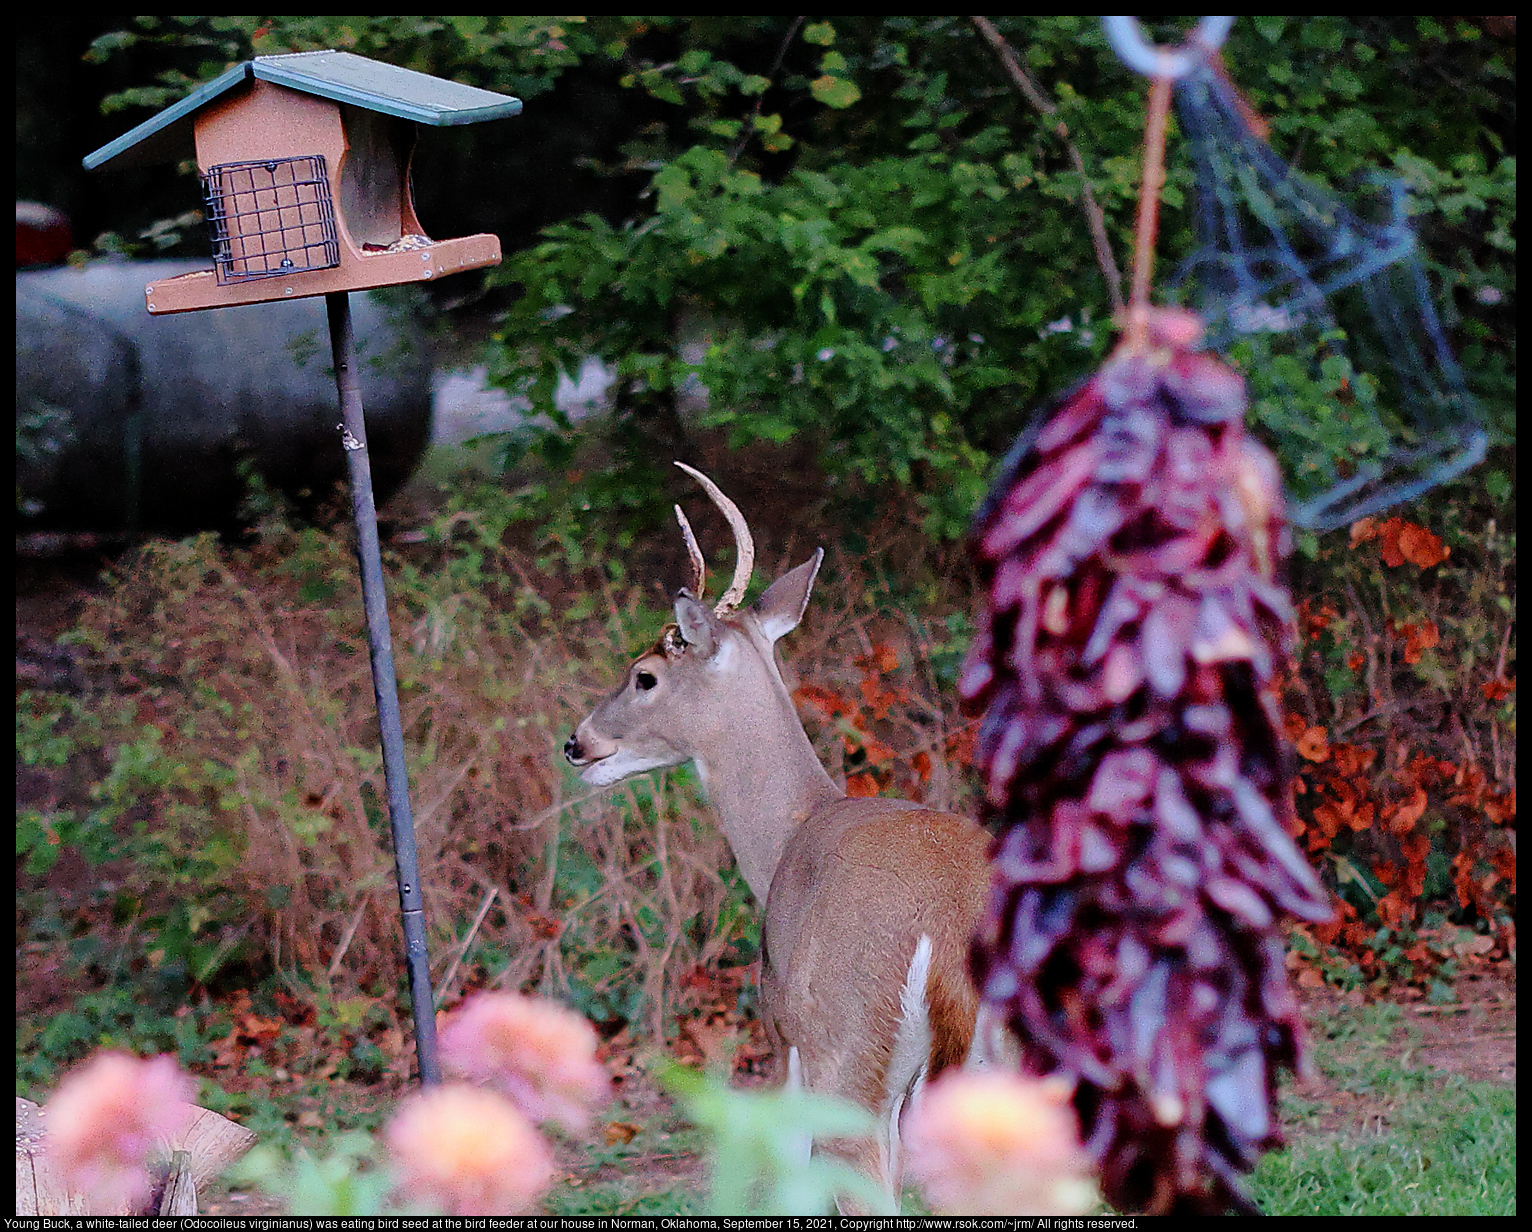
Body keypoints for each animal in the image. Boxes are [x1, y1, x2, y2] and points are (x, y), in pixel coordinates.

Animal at [566, 465, 992, 1213]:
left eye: (646, 674)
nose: (577, 743)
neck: (791, 834)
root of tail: (949, 927)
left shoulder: (788, 1047)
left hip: (849, 1063)